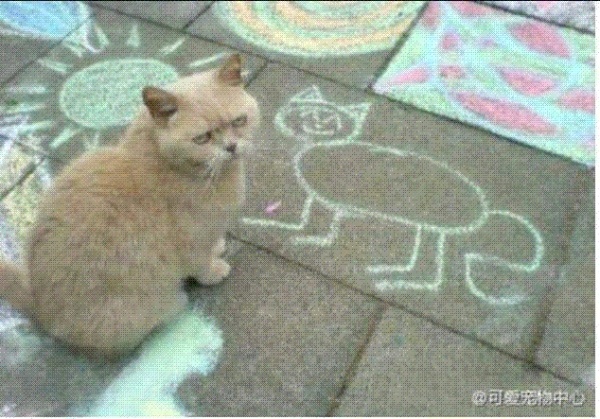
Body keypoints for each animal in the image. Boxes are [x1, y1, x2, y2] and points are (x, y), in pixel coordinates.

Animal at [0, 54, 259, 359]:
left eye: (239, 121)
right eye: (203, 138)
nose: (231, 147)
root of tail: (39, 307)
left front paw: (218, 247)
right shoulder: (190, 241)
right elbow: (200, 264)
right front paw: (214, 270)